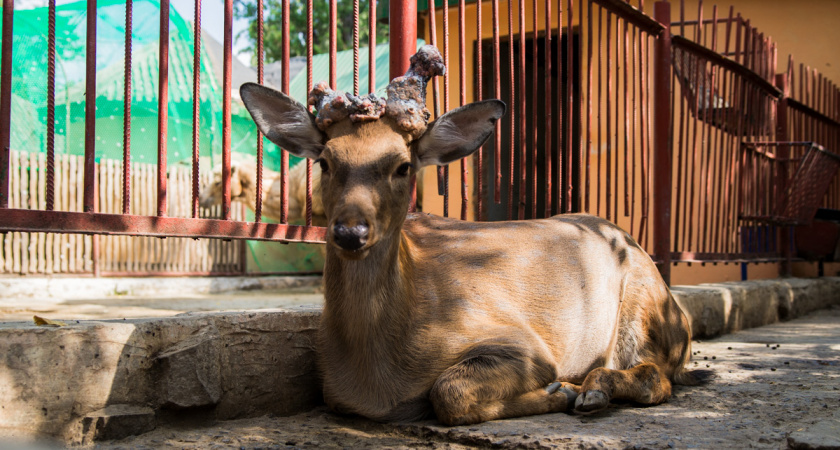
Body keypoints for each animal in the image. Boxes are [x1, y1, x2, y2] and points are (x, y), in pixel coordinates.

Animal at [241, 44, 708, 426]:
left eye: (403, 165)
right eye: (325, 161)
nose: (350, 231)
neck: (376, 375)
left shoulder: (522, 341)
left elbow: (448, 391)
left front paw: (559, 390)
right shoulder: (333, 390)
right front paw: (561, 392)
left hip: (649, 306)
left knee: (658, 377)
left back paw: (592, 390)